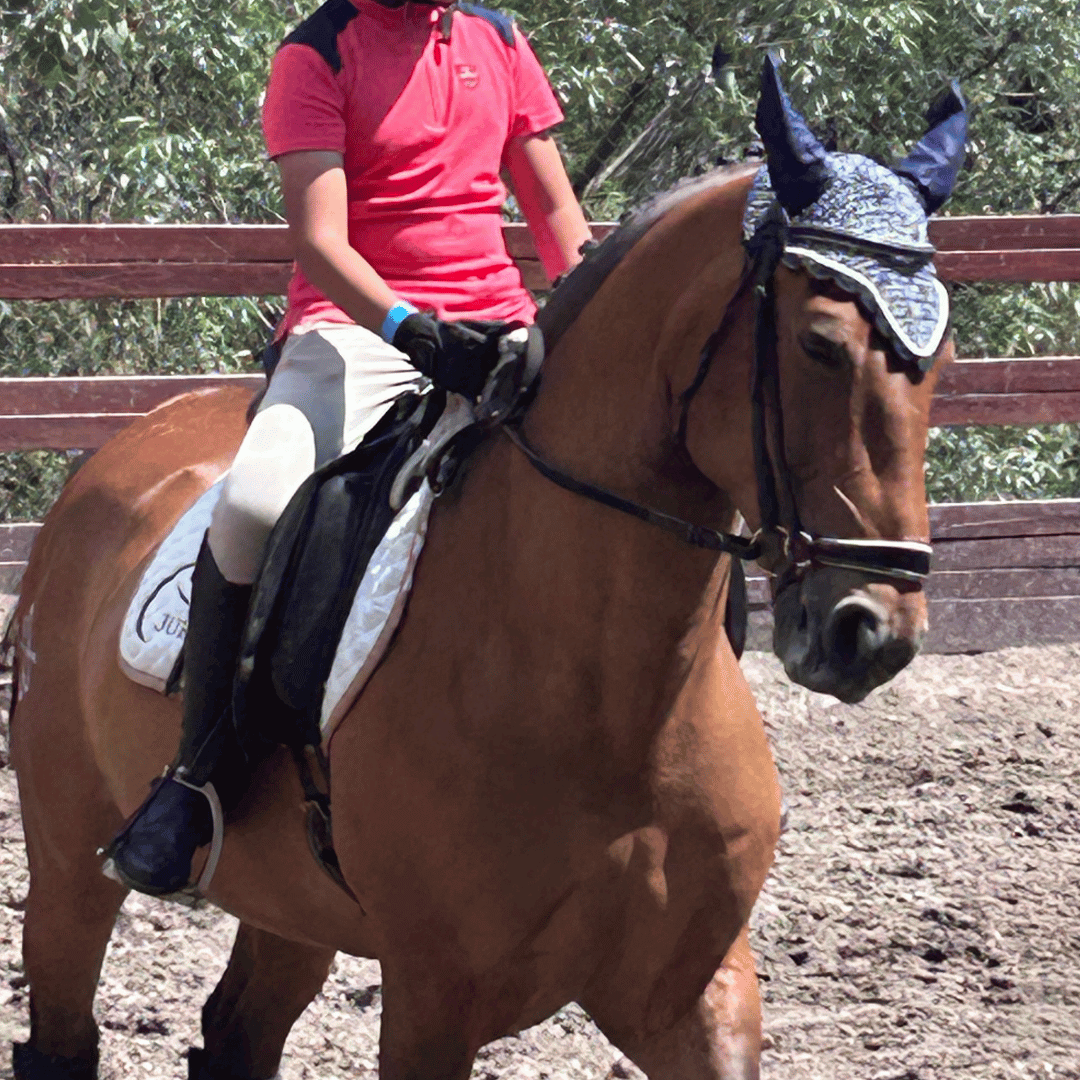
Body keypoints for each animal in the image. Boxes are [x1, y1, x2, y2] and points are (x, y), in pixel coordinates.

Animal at [6, 61, 963, 1080]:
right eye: (820, 342)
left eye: (940, 354)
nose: (871, 630)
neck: (612, 701)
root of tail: (120, 449)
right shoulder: (436, 997)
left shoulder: (696, 992)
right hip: (68, 859)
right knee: (65, 1019)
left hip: (292, 905)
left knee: (237, 1031)